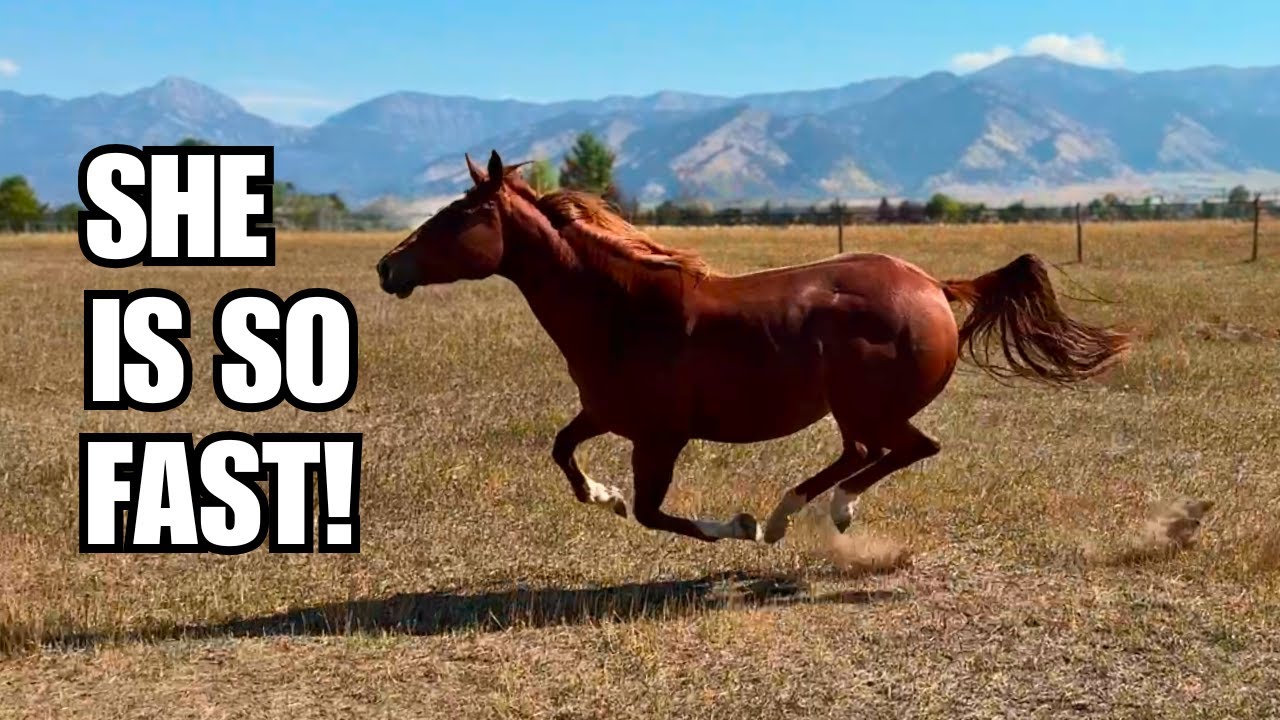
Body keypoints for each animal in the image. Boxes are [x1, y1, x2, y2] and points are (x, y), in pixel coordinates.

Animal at [376, 150, 1131, 544]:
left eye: (460, 216)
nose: (388, 267)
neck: (623, 310)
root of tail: (933, 285)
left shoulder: (660, 436)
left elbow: (654, 513)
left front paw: (731, 526)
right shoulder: (607, 414)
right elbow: (564, 453)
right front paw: (601, 495)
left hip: (870, 406)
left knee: (904, 450)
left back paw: (808, 512)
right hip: (854, 410)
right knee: (867, 453)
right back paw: (795, 512)